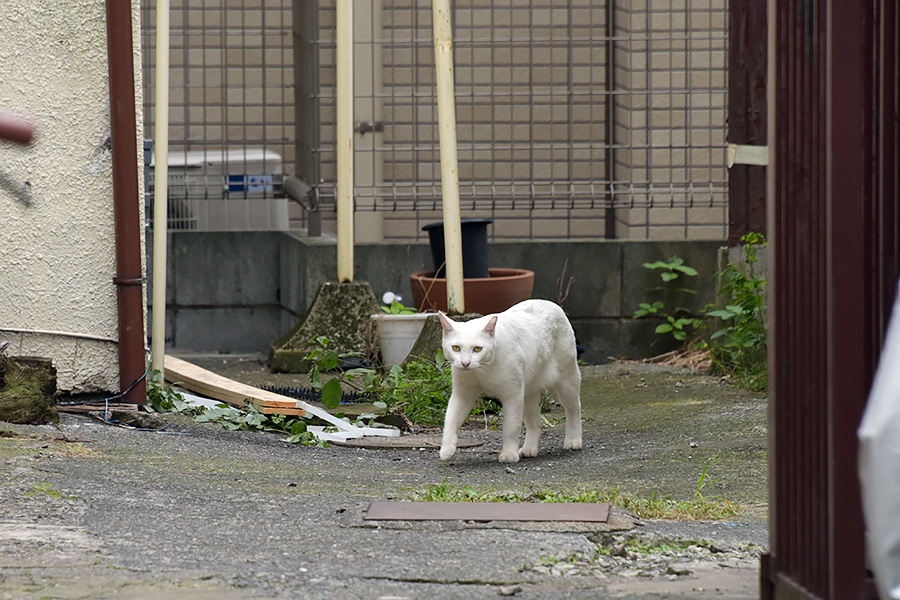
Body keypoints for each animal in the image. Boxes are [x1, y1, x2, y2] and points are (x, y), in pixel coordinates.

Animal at [438, 300, 584, 464]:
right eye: (456, 348)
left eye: (477, 349)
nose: (465, 363)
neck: (482, 371)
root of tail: (549, 303)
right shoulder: (461, 395)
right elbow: (450, 420)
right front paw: (447, 449)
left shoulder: (513, 396)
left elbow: (510, 428)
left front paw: (508, 454)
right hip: (528, 394)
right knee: (535, 422)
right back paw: (529, 449)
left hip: (567, 380)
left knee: (574, 409)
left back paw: (573, 440)